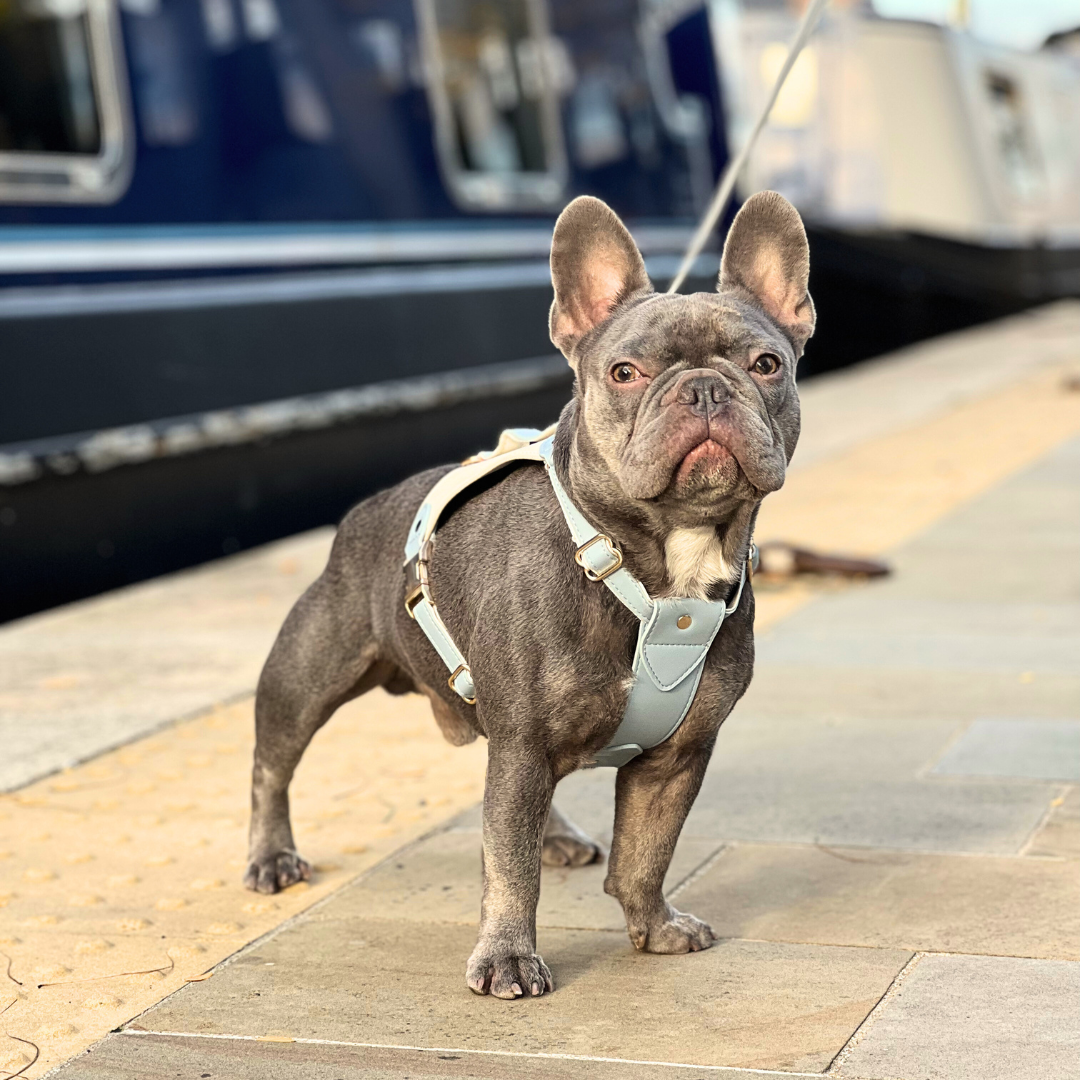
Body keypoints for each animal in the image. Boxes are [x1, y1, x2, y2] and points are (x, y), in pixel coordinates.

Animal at [245, 190, 812, 997]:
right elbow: (507, 865)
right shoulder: (525, 745)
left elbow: (647, 852)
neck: (655, 566)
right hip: (307, 674)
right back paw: (270, 856)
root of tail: (364, 512)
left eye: (767, 365)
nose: (704, 387)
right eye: (625, 372)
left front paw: (654, 926)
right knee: (274, 764)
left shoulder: (676, 757)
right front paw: (508, 957)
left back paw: (560, 837)